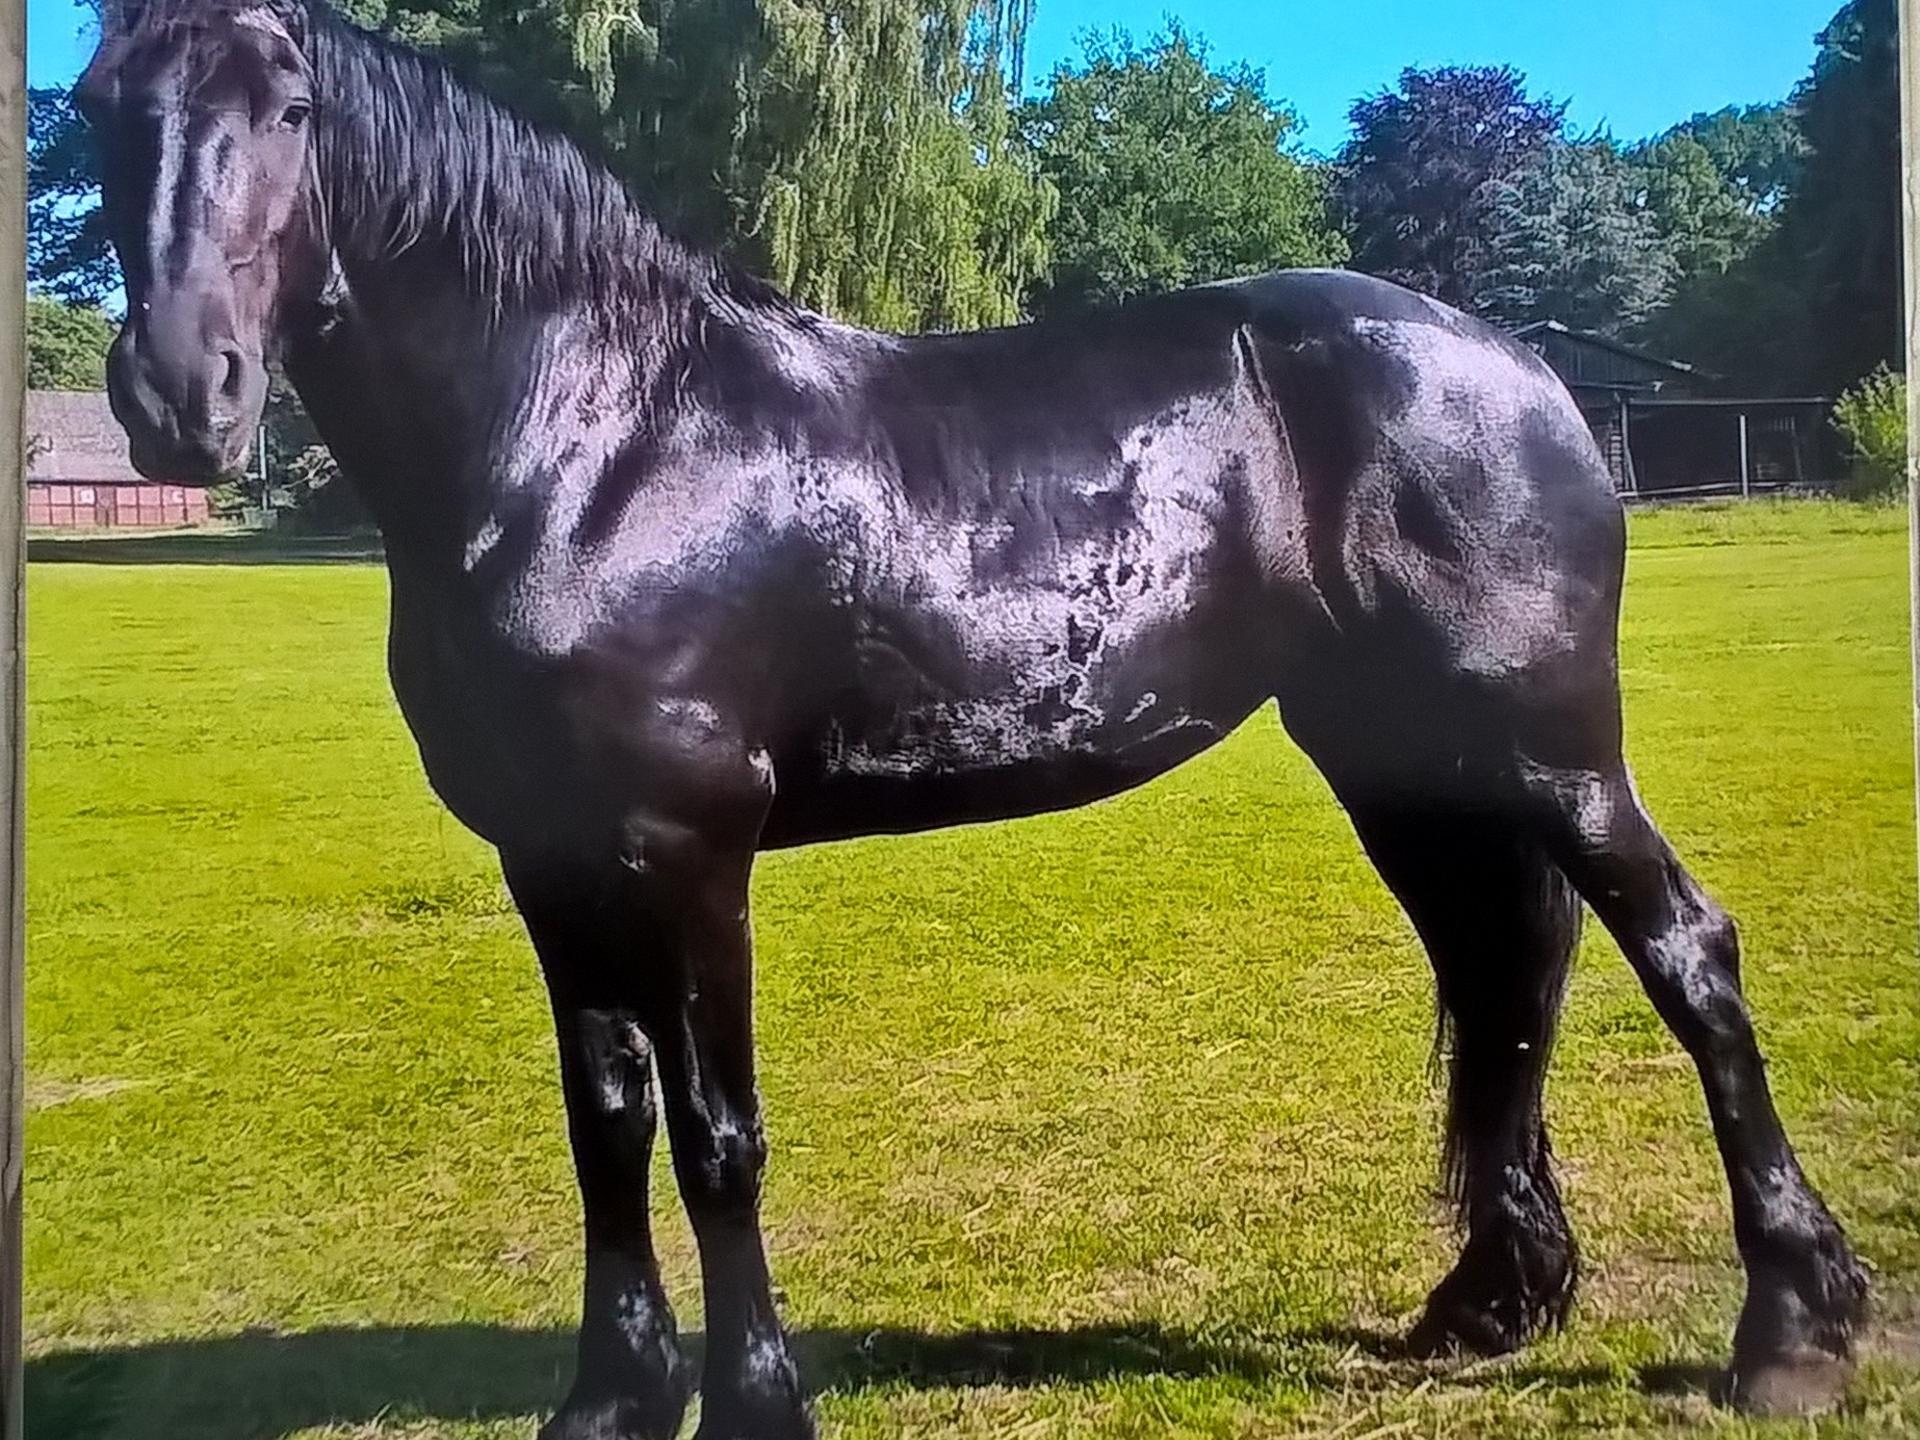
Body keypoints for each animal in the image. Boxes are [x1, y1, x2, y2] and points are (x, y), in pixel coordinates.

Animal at [77, 1, 1869, 1434]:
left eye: (290, 110)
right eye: (100, 103)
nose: (183, 395)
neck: (595, 441)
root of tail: (1516, 365)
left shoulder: (686, 850)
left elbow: (717, 1135)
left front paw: (755, 1404)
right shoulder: (552, 860)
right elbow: (607, 1125)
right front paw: (608, 1400)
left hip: (1547, 750)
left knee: (1685, 953)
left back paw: (1793, 1330)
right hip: (1409, 770)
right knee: (1502, 981)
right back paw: (1487, 1304)